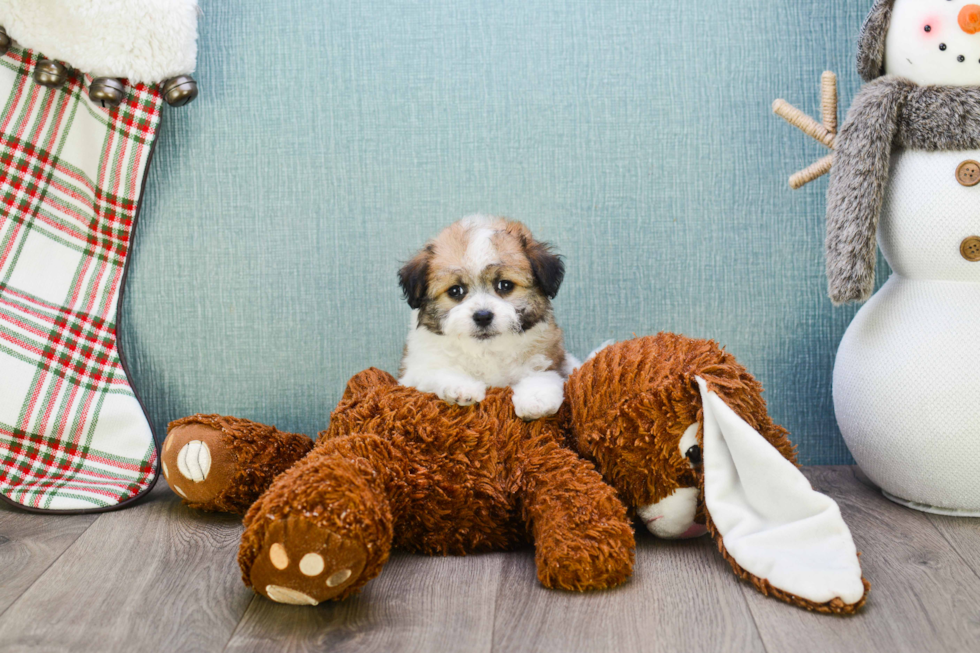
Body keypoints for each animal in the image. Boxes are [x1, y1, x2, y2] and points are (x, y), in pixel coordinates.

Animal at [396, 216, 576, 420]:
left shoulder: (550, 359)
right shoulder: (414, 371)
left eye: (505, 285)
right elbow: (438, 370)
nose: (482, 316)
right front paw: (461, 386)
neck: (486, 350)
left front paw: (536, 399)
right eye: (455, 290)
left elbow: (543, 375)